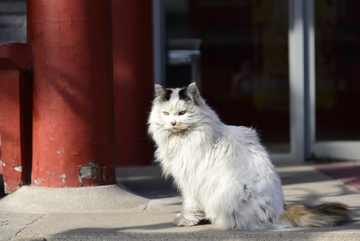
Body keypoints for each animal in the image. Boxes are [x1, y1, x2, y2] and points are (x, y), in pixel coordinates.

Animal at [147, 81, 348, 230]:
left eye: (182, 113)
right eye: (166, 113)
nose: (173, 123)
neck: (181, 139)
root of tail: (279, 210)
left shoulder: (190, 181)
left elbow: (188, 205)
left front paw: (185, 220)